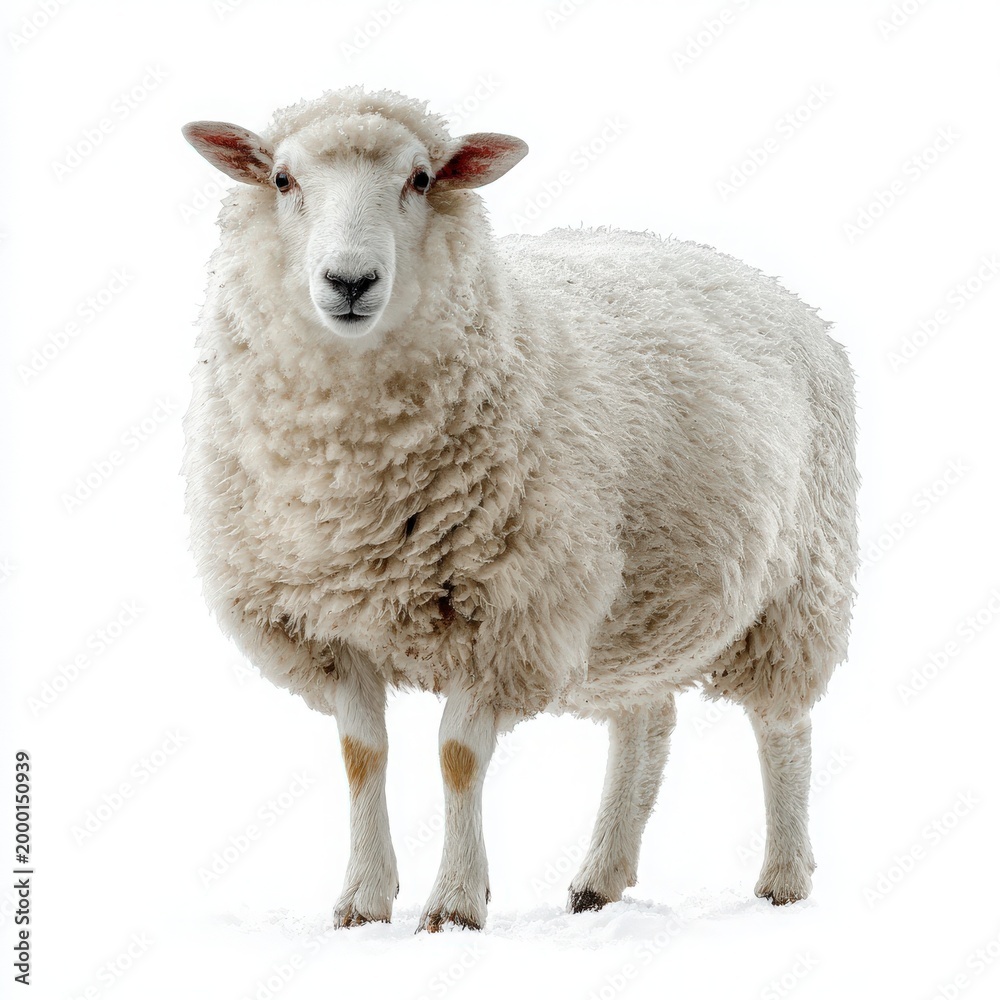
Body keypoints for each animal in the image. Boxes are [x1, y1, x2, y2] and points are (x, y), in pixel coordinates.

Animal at [181, 86, 858, 932]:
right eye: (281, 179)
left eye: (422, 178)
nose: (350, 281)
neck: (354, 482)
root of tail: (767, 284)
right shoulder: (328, 626)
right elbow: (362, 755)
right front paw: (363, 901)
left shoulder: (511, 613)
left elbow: (457, 757)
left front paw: (453, 906)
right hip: (638, 600)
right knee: (645, 723)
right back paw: (599, 880)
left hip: (799, 582)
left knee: (783, 726)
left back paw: (783, 878)